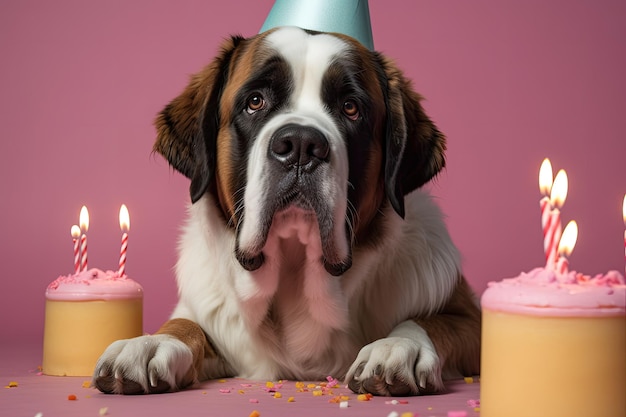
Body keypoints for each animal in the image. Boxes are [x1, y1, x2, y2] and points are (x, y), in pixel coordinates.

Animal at [92, 26, 478, 396]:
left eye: (350, 108)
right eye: (255, 101)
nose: (301, 145)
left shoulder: (471, 317)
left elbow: (431, 320)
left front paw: (397, 346)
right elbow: (186, 324)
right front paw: (150, 343)